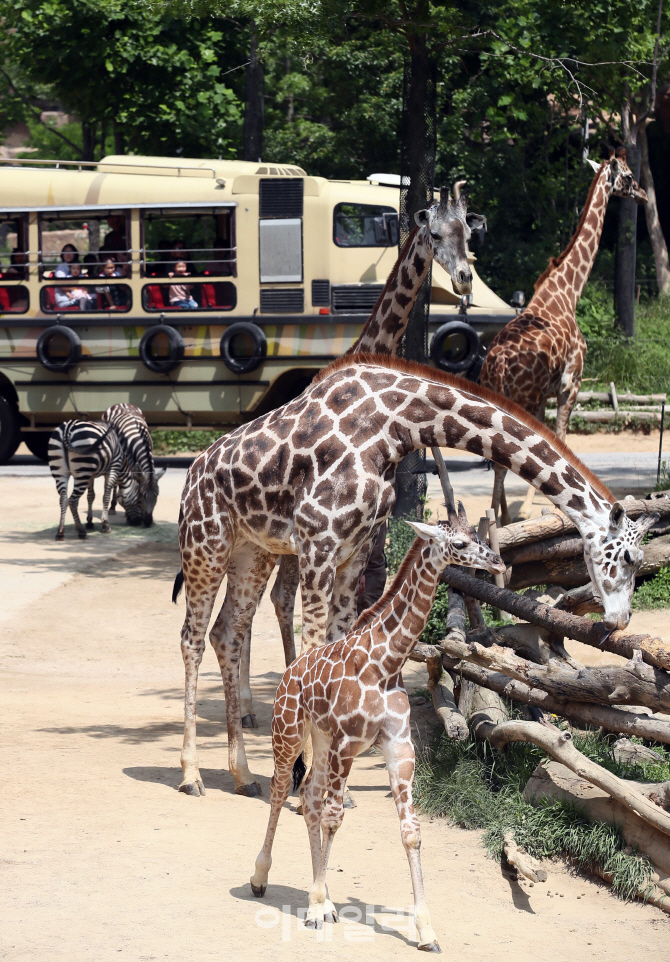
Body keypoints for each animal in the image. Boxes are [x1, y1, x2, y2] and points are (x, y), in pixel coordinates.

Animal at [251, 506, 504, 948]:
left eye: (477, 534)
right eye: (458, 543)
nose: (496, 563)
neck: (387, 662)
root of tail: (288, 674)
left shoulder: (398, 745)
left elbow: (411, 830)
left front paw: (425, 929)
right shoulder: (348, 742)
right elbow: (335, 817)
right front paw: (313, 909)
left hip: (321, 740)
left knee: (310, 798)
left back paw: (327, 899)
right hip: (289, 733)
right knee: (283, 792)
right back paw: (262, 877)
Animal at [484, 148, 652, 524]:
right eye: (629, 176)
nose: (644, 196)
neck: (568, 291)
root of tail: (497, 362)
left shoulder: (546, 394)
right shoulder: (570, 383)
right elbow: (558, 441)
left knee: (495, 452)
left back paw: (499, 518)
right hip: (524, 396)